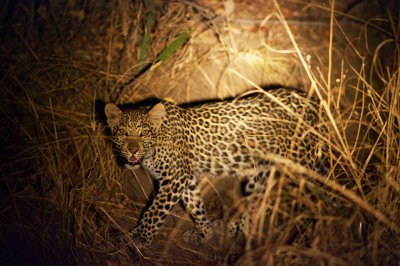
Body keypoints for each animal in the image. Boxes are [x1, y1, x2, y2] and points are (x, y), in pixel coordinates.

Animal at [104, 88, 332, 248]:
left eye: (143, 133)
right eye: (123, 132)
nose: (133, 150)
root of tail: (316, 104)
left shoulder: (175, 178)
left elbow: (155, 211)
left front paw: (139, 237)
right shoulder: (186, 177)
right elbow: (195, 204)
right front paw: (205, 232)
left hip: (299, 166)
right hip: (259, 174)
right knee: (258, 202)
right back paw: (230, 227)